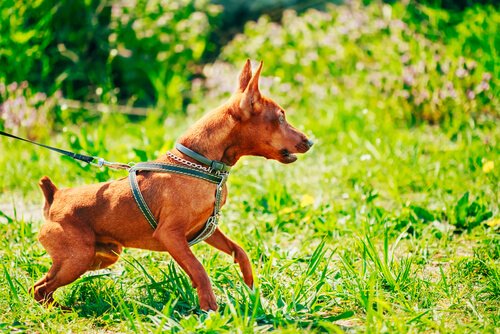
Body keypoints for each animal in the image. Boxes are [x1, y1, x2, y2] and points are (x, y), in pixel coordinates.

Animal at [33, 60, 312, 310]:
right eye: (281, 118)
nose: (309, 141)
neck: (199, 164)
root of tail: (55, 197)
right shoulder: (171, 236)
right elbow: (199, 270)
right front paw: (209, 308)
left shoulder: (206, 229)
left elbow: (239, 251)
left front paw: (250, 286)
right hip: (77, 259)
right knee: (39, 288)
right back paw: (57, 311)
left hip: (100, 256)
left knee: (41, 286)